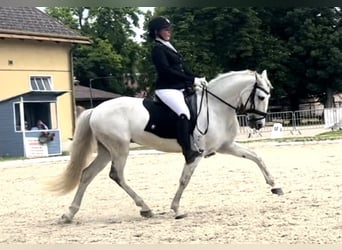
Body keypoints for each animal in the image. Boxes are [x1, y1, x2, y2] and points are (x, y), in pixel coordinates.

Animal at [48, 69, 284, 223]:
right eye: (261, 96)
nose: (258, 124)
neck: (216, 107)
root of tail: (96, 109)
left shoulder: (226, 146)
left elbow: (255, 156)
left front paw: (275, 186)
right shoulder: (196, 155)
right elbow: (184, 180)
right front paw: (176, 209)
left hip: (106, 150)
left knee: (87, 174)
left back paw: (69, 214)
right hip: (120, 149)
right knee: (117, 175)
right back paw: (145, 208)